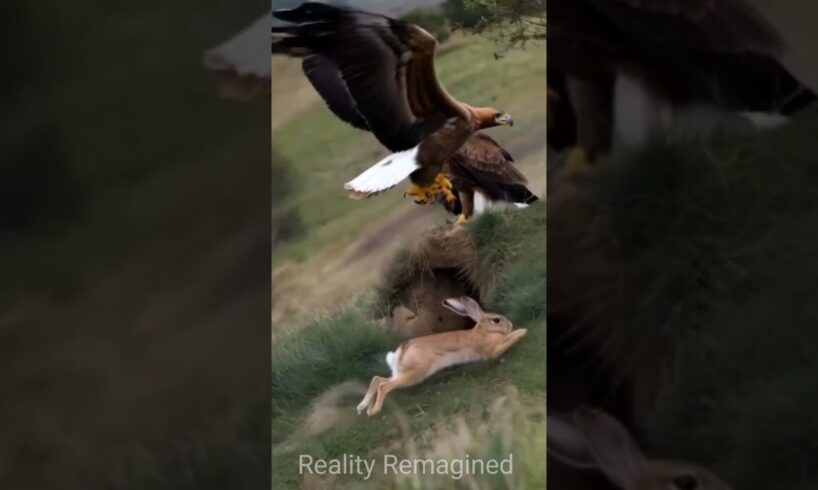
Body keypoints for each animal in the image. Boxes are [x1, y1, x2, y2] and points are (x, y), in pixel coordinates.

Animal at [356, 296, 524, 416]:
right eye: (496, 320)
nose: (510, 325)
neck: (483, 331)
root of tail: (400, 352)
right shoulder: (492, 349)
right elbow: (506, 343)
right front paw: (522, 331)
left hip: (402, 373)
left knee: (377, 380)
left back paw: (363, 407)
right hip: (416, 373)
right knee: (384, 386)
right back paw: (373, 411)